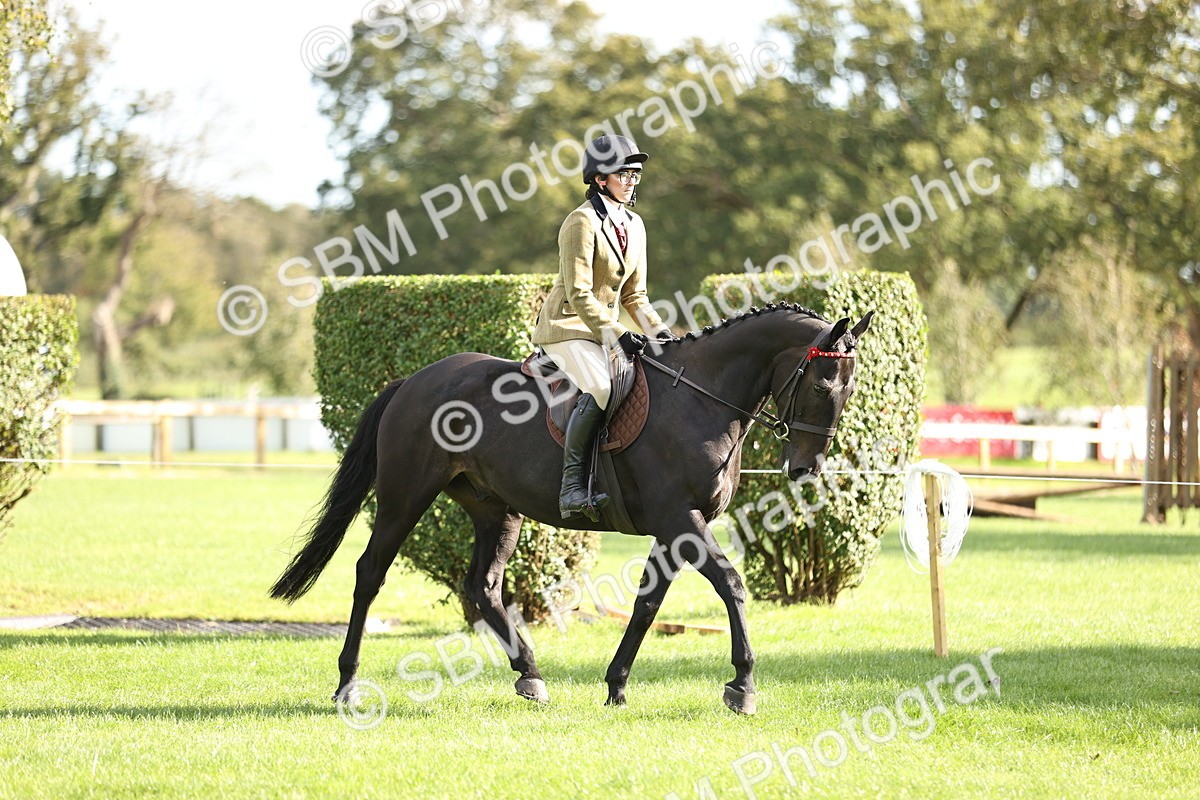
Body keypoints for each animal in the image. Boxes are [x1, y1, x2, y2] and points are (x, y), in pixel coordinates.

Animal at [270, 303, 873, 715]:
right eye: (823, 385)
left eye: (849, 391)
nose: (805, 469)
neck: (700, 399)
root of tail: (413, 381)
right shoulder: (681, 520)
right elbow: (731, 584)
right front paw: (742, 686)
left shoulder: (674, 529)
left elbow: (647, 605)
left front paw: (617, 686)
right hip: (404, 497)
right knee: (370, 573)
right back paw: (347, 684)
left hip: (496, 510)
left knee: (483, 586)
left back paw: (530, 674)